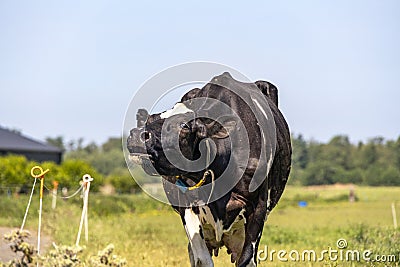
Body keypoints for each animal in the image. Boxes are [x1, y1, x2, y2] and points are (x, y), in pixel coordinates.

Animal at [126, 72, 292, 266]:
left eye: (184, 126)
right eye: (149, 119)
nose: (137, 135)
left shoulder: (258, 206)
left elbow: (247, 259)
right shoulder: (187, 206)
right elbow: (202, 258)